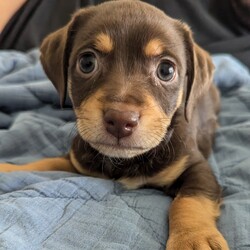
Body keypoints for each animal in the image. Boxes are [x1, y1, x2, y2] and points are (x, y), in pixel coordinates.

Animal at [0, 0, 229, 249]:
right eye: (87, 62)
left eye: (166, 70)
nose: (121, 120)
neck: (124, 162)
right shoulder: (77, 160)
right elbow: (44, 163)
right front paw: (8, 168)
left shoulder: (196, 167)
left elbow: (190, 200)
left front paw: (193, 237)